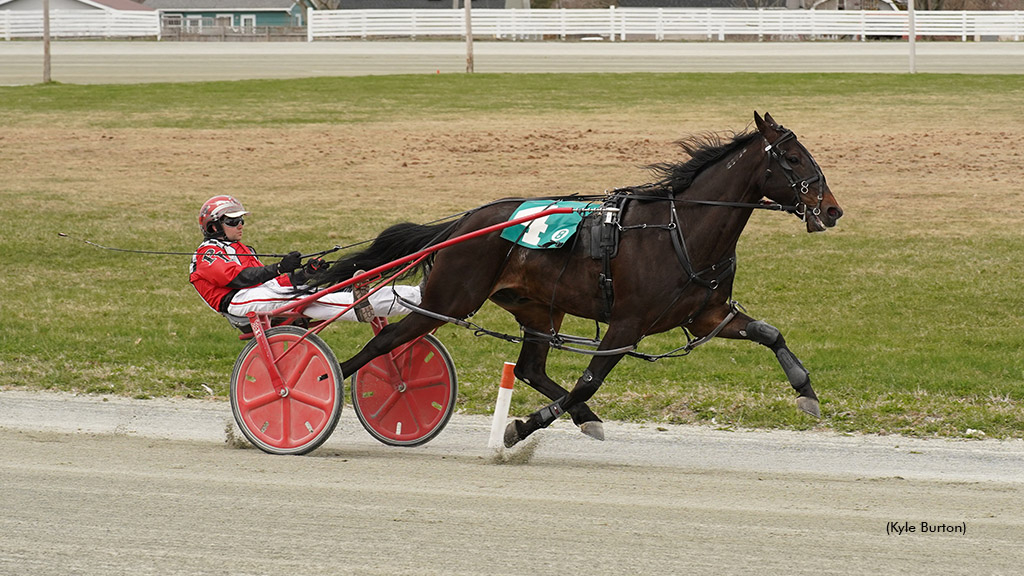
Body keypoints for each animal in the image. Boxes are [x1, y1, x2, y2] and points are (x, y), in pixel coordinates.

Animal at [311, 111, 839, 444]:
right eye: (793, 158)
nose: (832, 210)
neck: (680, 230)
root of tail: (464, 223)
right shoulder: (628, 323)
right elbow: (588, 381)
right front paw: (522, 427)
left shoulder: (707, 314)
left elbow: (770, 333)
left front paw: (807, 393)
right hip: (451, 298)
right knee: (386, 341)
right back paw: (318, 381)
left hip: (536, 309)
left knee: (530, 368)